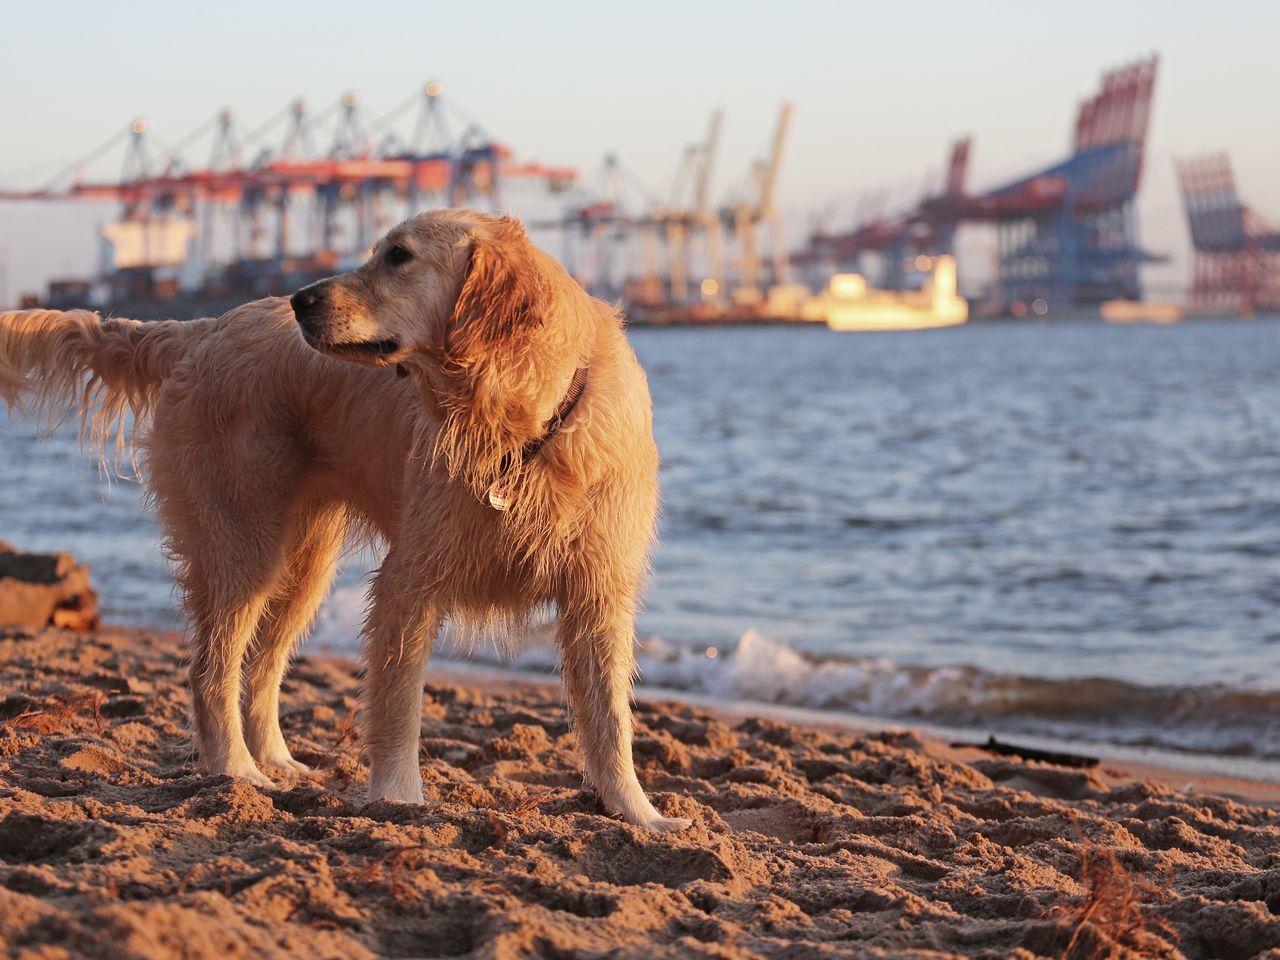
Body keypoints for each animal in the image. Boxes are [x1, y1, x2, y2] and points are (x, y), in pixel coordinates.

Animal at [0, 208, 691, 834]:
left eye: (399, 257)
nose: (300, 299)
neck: (520, 428)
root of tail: (207, 327)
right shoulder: (409, 581)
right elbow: (397, 706)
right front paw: (398, 798)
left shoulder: (599, 593)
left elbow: (610, 720)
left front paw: (640, 813)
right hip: (243, 545)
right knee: (211, 670)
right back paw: (236, 772)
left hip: (303, 565)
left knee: (262, 669)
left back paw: (276, 763)